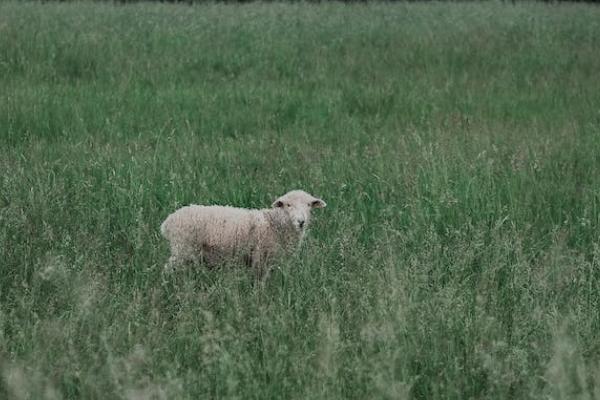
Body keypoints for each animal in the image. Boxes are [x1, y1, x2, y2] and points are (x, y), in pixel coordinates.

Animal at [159, 190, 326, 278]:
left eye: (309, 205)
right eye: (288, 205)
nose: (301, 221)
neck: (275, 223)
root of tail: (168, 222)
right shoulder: (260, 257)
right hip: (182, 249)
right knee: (167, 269)